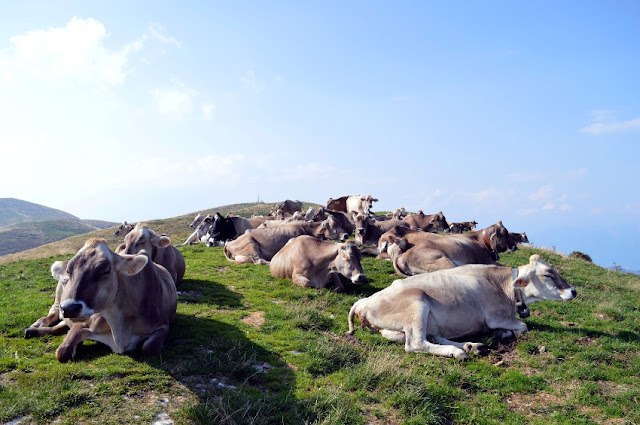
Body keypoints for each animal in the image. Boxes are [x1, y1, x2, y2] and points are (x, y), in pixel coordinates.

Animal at [348, 253, 576, 360]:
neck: (505, 287)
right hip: (416, 304)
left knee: (432, 337)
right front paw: (502, 333)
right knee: (416, 343)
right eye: (548, 274)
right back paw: (457, 352)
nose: (573, 291)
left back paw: (471, 346)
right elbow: (523, 326)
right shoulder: (495, 316)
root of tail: (364, 301)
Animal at [382, 220, 516, 276]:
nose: (514, 246)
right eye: (504, 233)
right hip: (445, 263)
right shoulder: (484, 259)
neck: (478, 239)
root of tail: (401, 256)